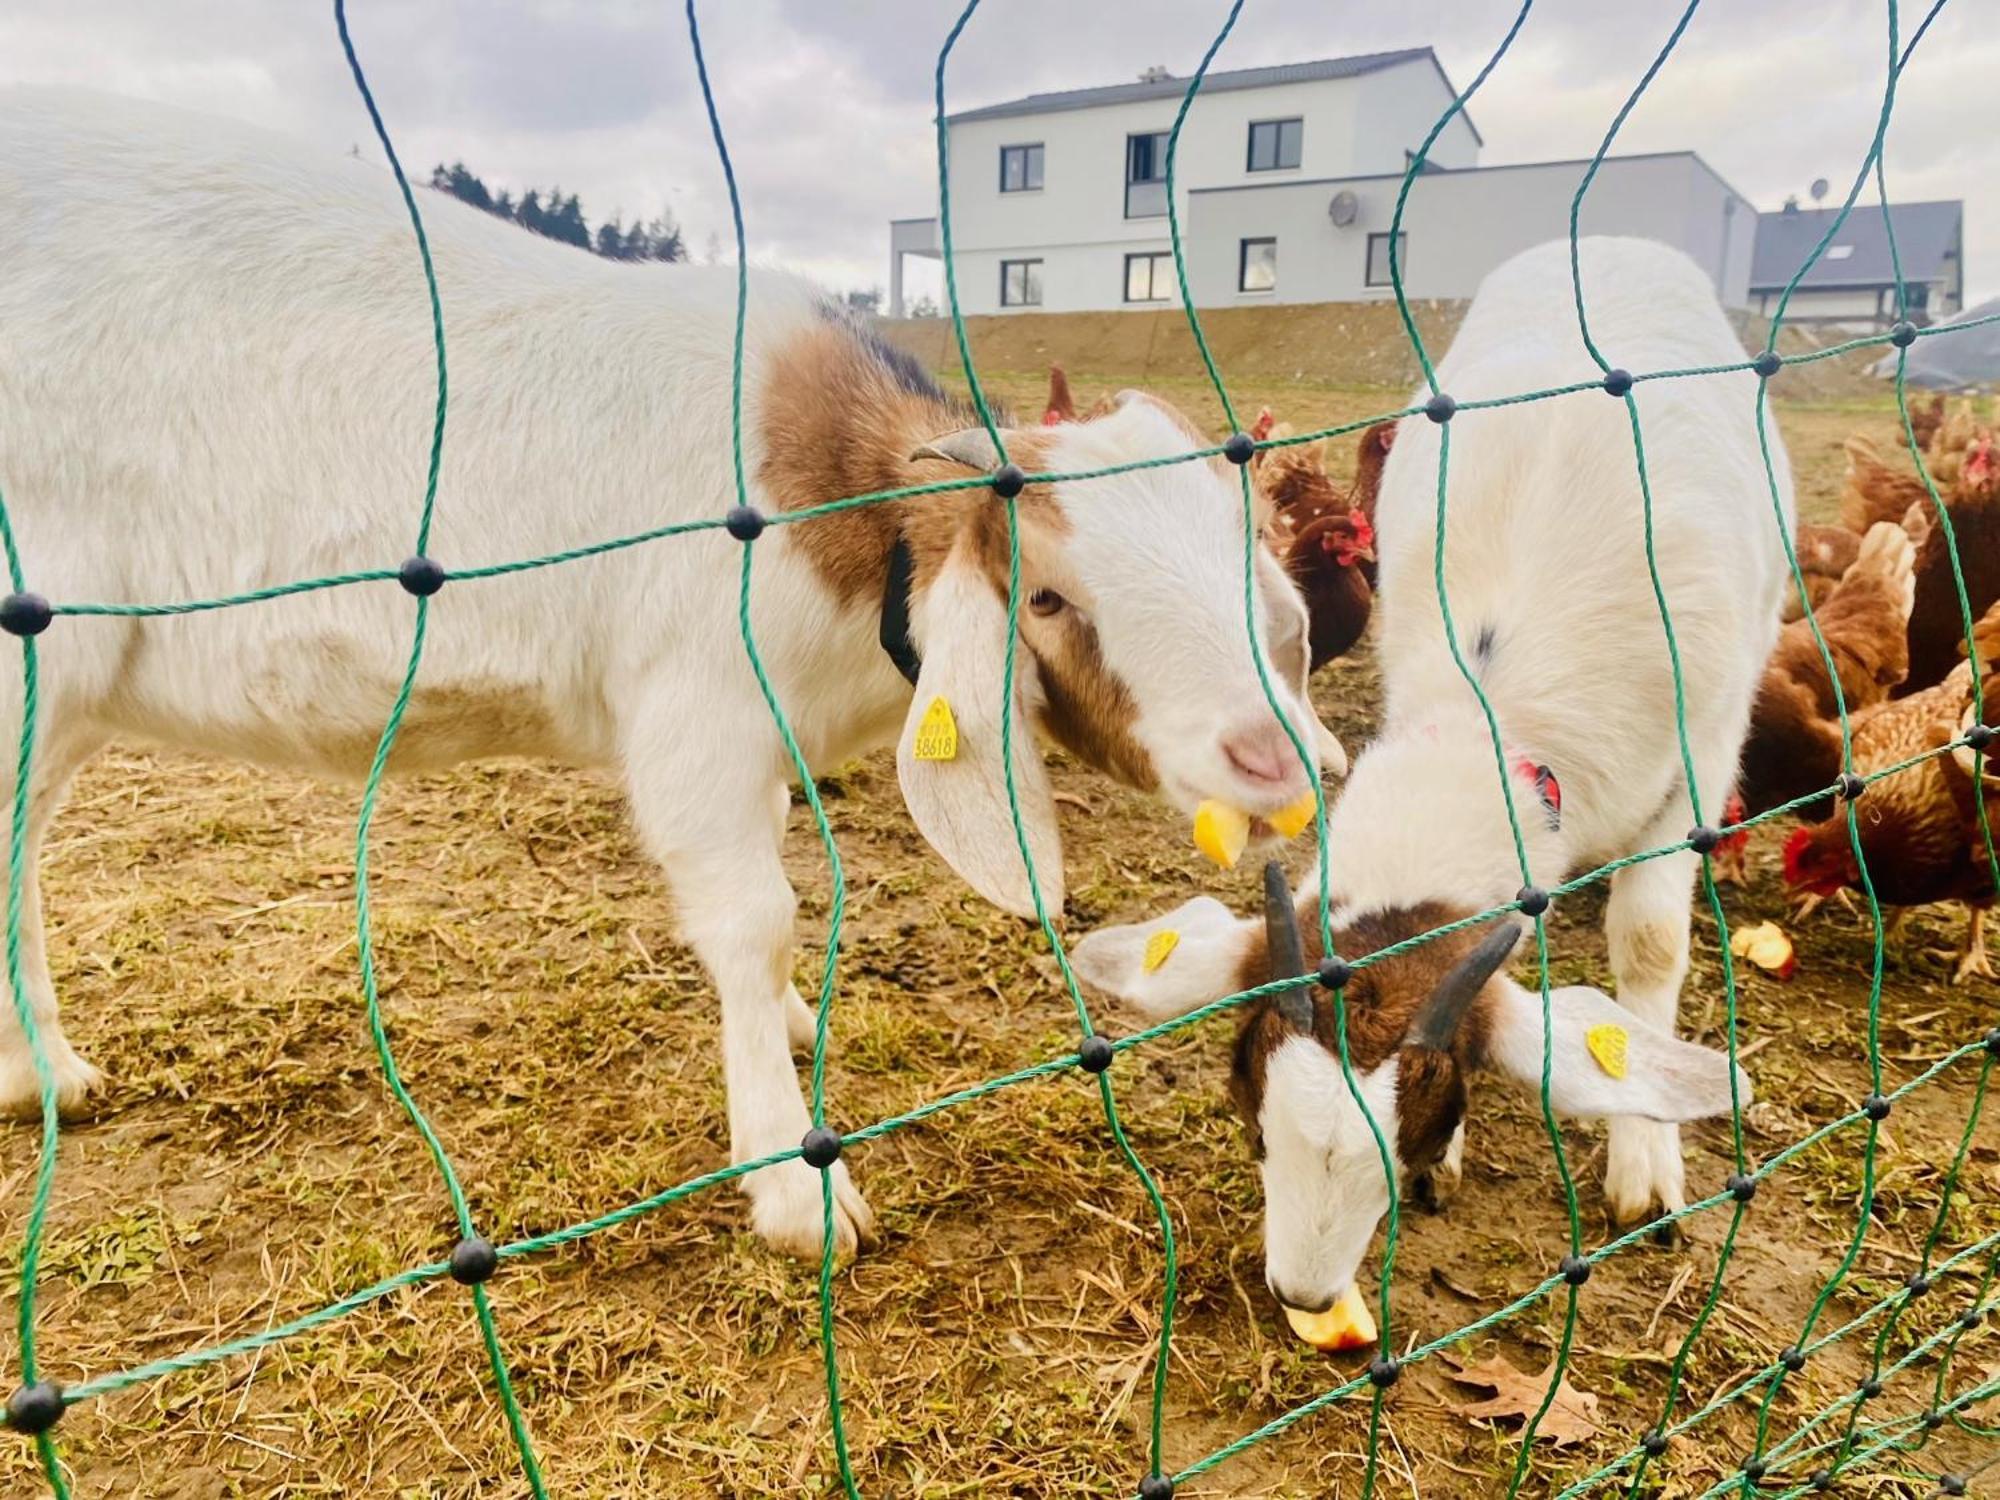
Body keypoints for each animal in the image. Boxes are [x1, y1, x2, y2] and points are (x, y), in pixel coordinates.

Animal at [7, 91, 1344, 1256]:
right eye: (1050, 597)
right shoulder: (698, 713)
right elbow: (752, 918)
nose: (1270, 757)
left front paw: (793, 1022)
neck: (828, 517)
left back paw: (40, 1075)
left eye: (1237, 549)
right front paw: (797, 1187)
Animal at [1072, 244, 1776, 1328]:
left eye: (1416, 1125)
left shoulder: (1700, 759)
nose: (1304, 1292)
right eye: (1251, 1115)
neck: (1500, 707)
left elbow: (1652, 942)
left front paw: (1646, 1164)